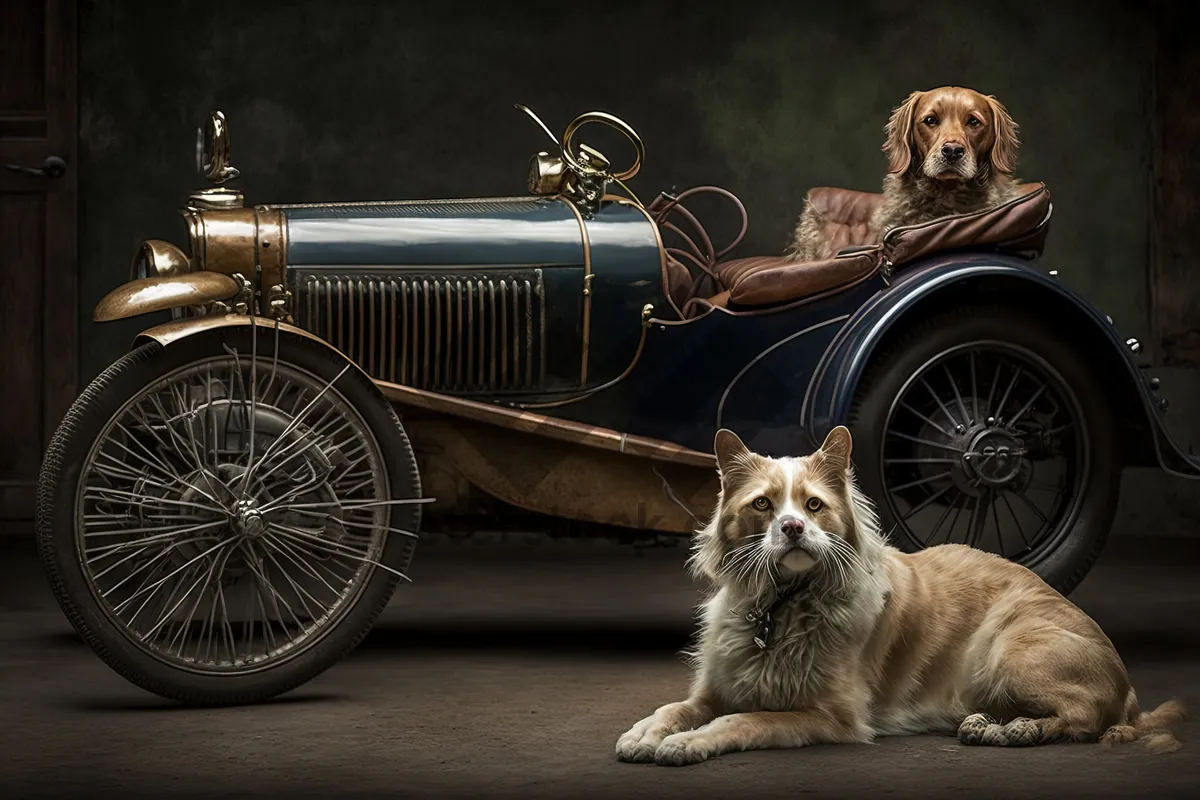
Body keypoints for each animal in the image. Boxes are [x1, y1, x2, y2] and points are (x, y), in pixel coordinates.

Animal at [614, 429, 1185, 767]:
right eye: (762, 504)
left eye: (814, 505)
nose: (794, 528)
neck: (782, 606)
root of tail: (1128, 685)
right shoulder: (712, 691)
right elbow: (672, 708)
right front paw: (645, 735)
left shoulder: (832, 716)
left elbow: (743, 721)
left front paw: (685, 744)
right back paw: (987, 726)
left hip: (1009, 651)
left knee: (1082, 719)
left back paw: (1016, 731)